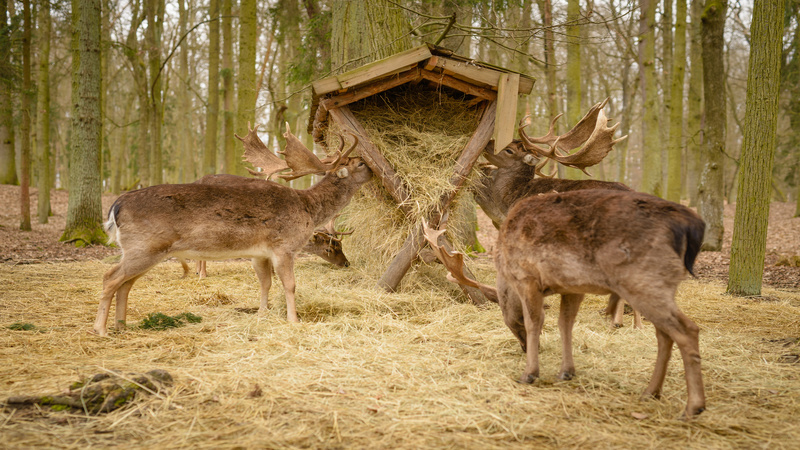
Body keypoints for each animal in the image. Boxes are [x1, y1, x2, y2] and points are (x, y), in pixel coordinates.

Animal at [94, 125, 372, 336]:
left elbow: (265, 283)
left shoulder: (259, 253)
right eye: (360, 163)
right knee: (110, 277)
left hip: (143, 250)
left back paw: (122, 326)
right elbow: (290, 285)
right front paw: (294, 320)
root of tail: (116, 206)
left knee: (125, 284)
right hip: (144, 247)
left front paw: (262, 312)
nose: (372, 169)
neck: (308, 209)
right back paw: (101, 329)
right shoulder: (283, 246)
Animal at [424, 189, 708, 418]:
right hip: (653, 285)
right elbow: (565, 323)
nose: (522, 348)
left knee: (687, 329)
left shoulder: (527, 277)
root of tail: (690, 224)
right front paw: (566, 371)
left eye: (507, 320)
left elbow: (535, 322)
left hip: (643, 279)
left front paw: (530, 373)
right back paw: (651, 392)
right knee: (664, 334)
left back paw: (693, 407)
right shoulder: (572, 287)